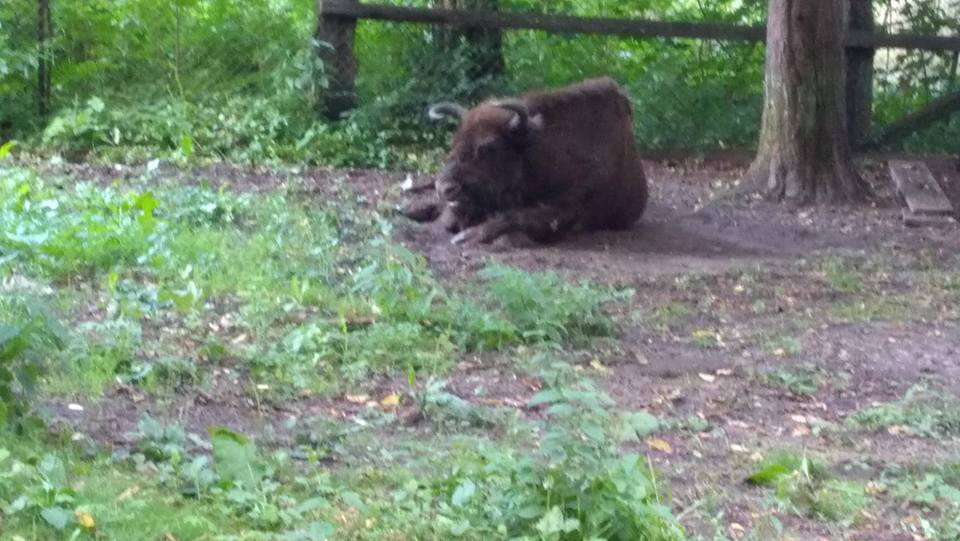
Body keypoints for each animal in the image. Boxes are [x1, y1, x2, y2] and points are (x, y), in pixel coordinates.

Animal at [402, 76, 648, 245]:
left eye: (488, 147)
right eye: (454, 142)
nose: (445, 187)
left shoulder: (563, 212)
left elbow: (513, 217)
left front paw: (466, 236)